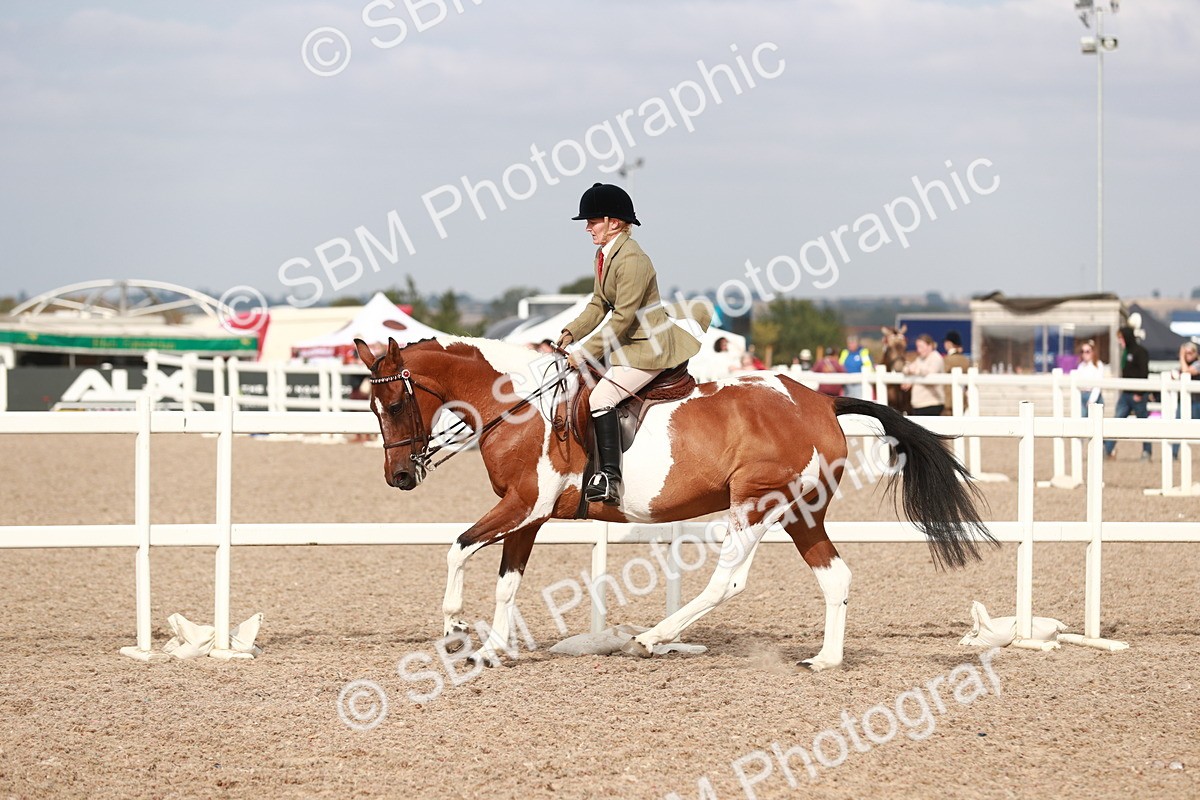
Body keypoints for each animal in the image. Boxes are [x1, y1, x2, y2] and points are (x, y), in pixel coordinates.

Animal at [355, 336, 994, 671]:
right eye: (372, 407)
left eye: (394, 405)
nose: (399, 477)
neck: (517, 404)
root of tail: (819, 400)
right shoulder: (528, 516)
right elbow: (507, 582)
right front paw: (489, 649)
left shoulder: (524, 506)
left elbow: (457, 547)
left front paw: (455, 626)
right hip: (800, 513)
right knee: (835, 576)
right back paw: (825, 660)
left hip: (755, 504)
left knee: (728, 581)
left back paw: (652, 638)